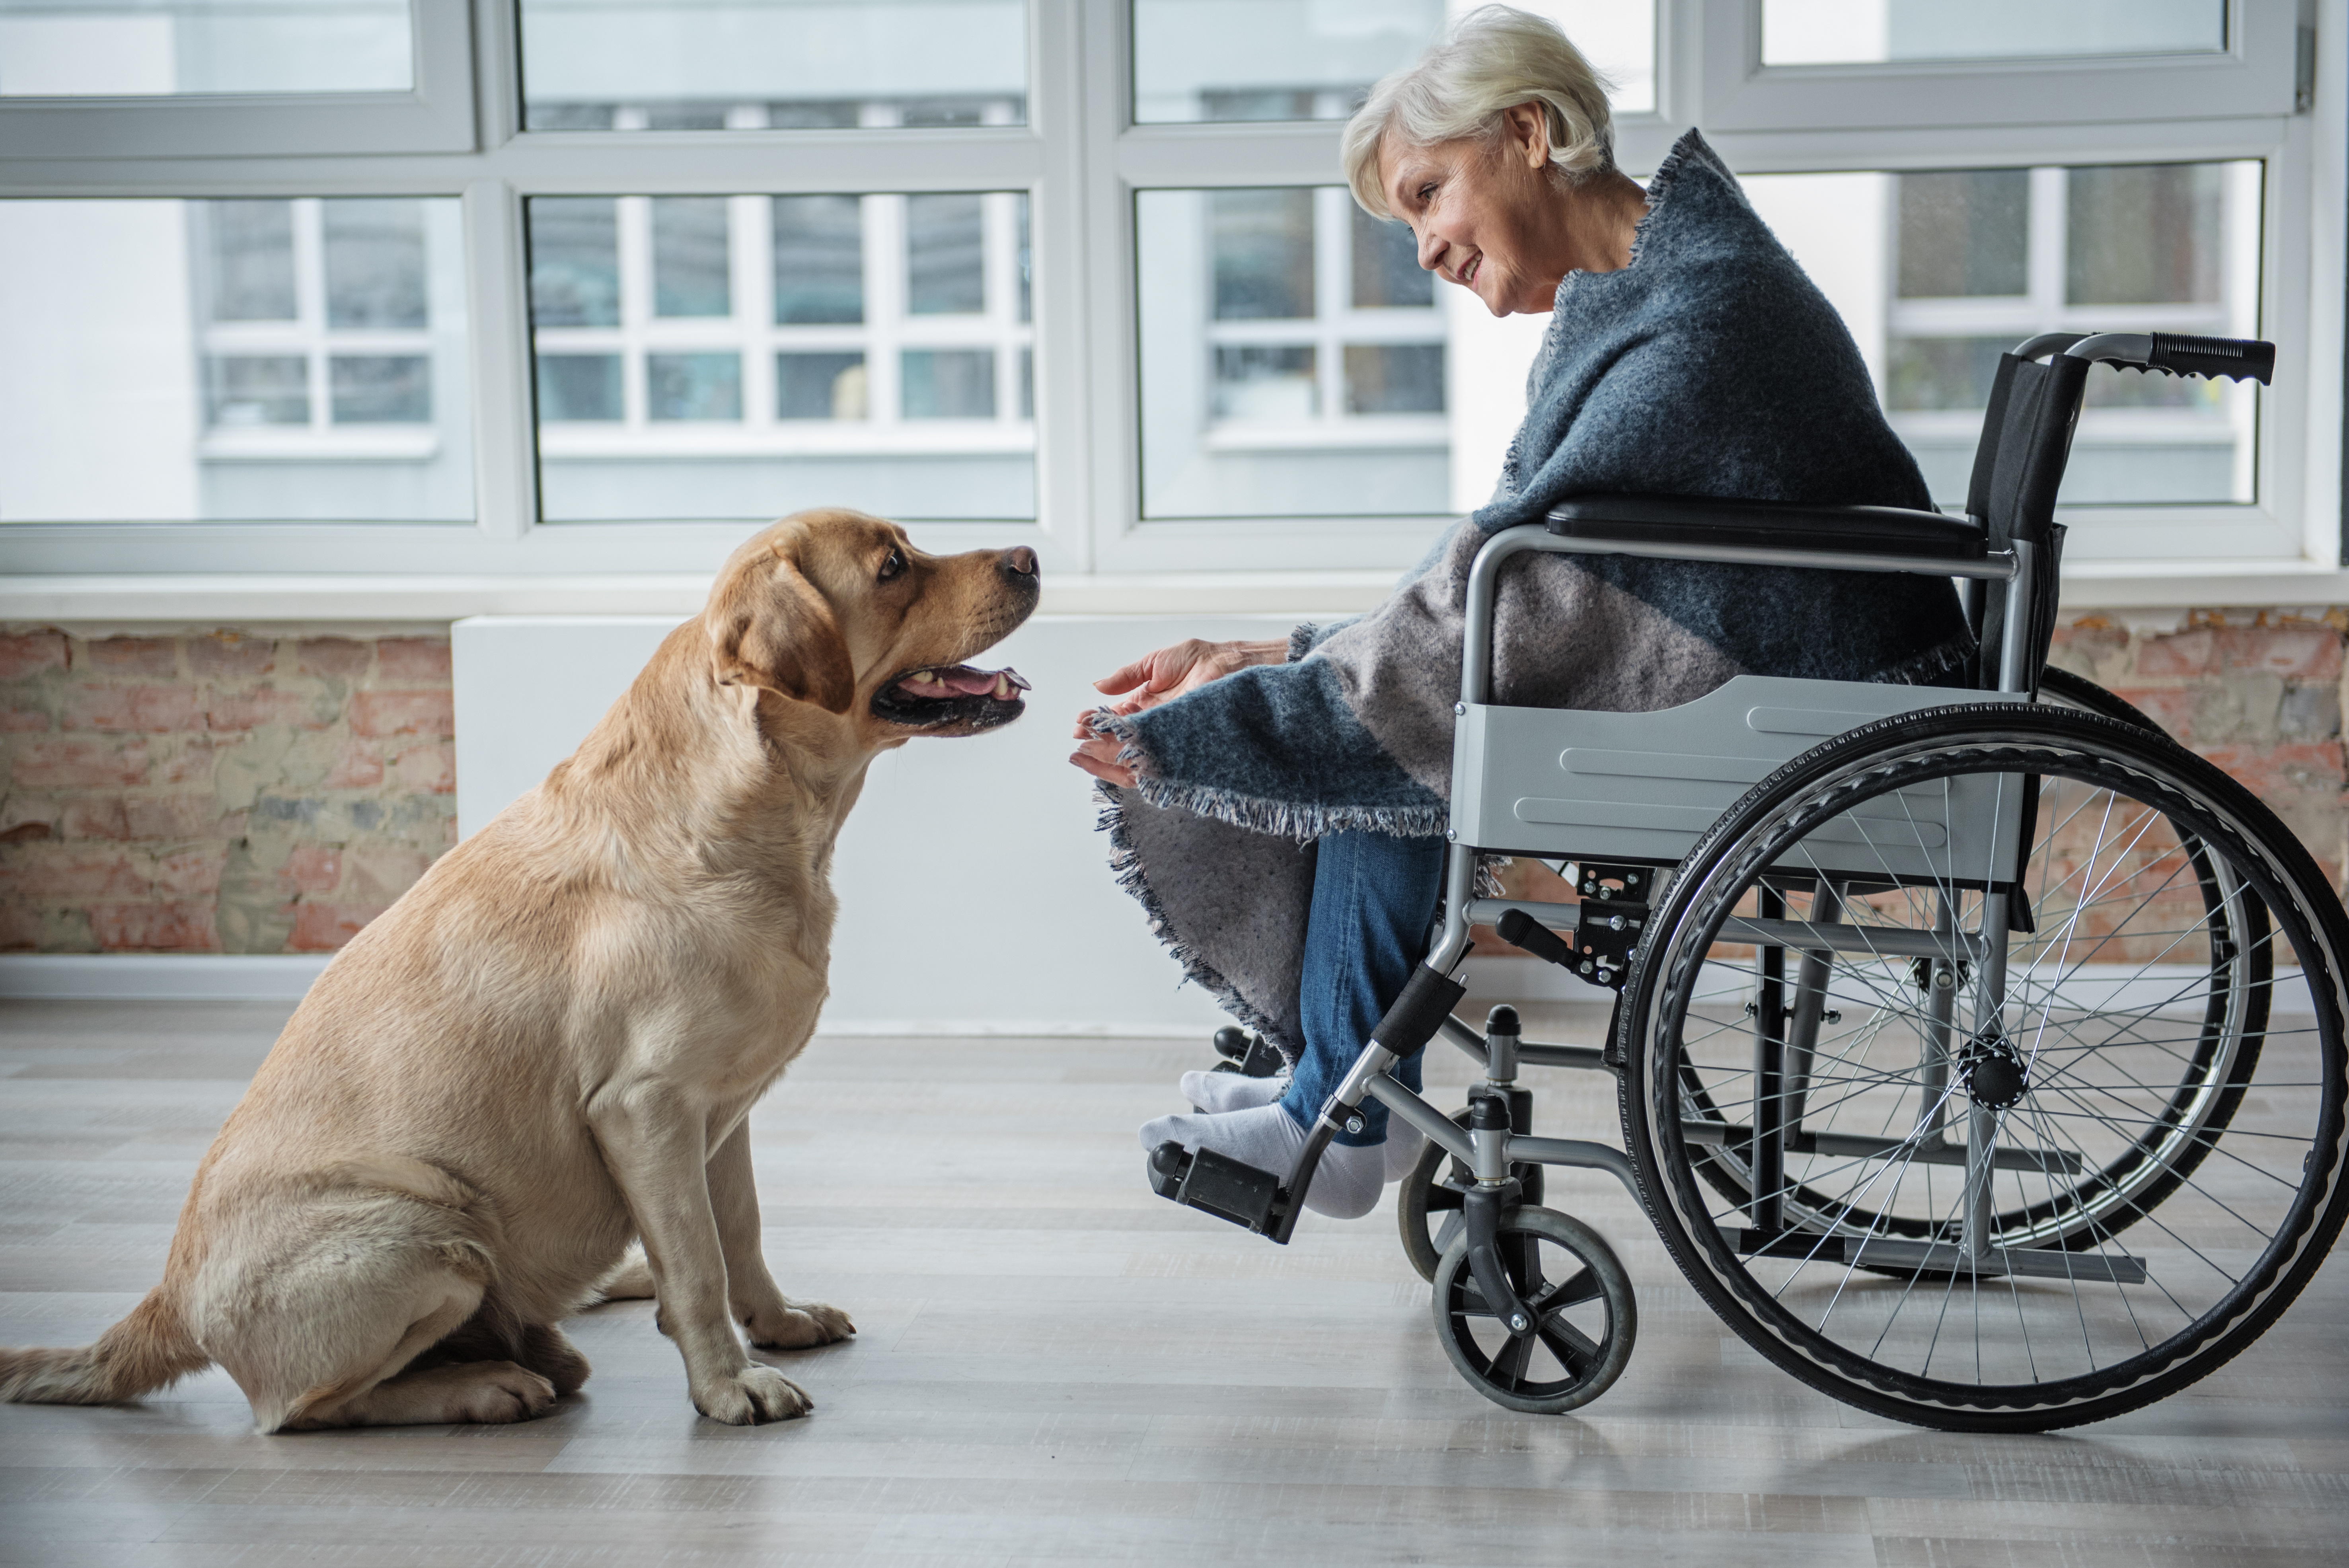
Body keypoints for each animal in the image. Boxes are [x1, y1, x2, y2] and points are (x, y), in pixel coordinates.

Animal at [0, 514, 1048, 1436]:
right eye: (891, 566)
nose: (1031, 556)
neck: (760, 812)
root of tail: (166, 1299)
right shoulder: (645, 1107)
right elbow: (699, 1265)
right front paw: (727, 1384)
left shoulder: (723, 1109)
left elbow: (739, 1231)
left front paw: (778, 1324)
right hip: (433, 1232)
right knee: (303, 1410)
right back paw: (485, 1384)